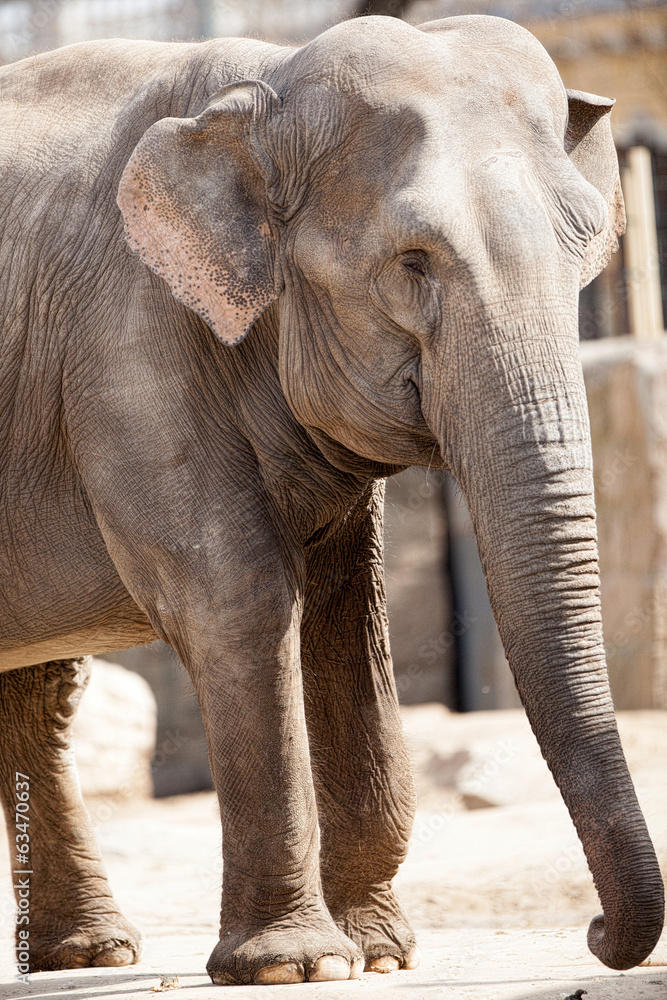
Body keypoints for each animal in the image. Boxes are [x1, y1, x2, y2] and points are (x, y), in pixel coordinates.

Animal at [0, 12, 663, 986]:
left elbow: (346, 610)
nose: (592, 934)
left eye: (581, 250)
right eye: (412, 263)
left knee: (40, 689)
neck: (263, 90)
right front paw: (297, 966)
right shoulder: (124, 347)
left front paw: (379, 953)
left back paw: (86, 952)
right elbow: (238, 596)